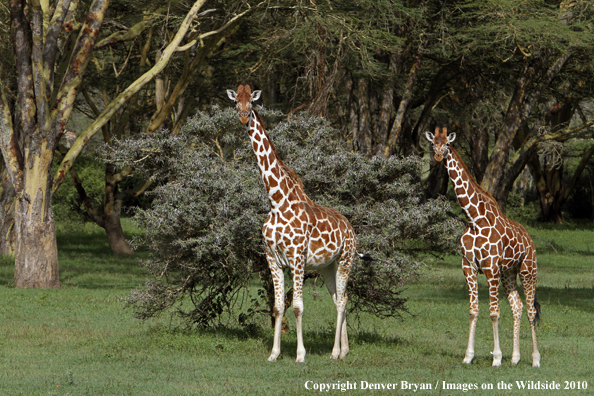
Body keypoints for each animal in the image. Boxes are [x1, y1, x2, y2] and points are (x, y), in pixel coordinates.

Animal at [227, 85, 356, 364]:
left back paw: (335, 352)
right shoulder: (272, 258)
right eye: (235, 103)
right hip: (327, 266)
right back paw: (344, 350)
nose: (242, 117)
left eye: (251, 103)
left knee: (342, 300)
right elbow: (277, 307)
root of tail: (350, 226)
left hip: (346, 259)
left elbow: (297, 307)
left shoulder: (297, 257)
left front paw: (300, 355)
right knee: (339, 298)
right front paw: (274, 354)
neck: (277, 201)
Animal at [424, 127, 540, 368]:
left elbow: (494, 312)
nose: (438, 156)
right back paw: (515, 358)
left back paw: (535, 359)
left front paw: (496, 358)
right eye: (433, 144)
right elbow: (473, 310)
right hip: (509, 273)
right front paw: (468, 356)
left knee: (531, 310)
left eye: (446, 144)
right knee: (517, 306)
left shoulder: (491, 268)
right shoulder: (468, 266)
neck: (474, 219)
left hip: (528, 270)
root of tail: (530, 239)